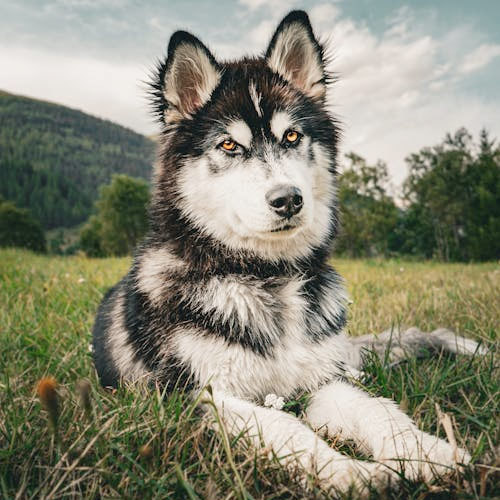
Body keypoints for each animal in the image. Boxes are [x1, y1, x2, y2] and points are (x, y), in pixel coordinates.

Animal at [92, 11, 486, 496]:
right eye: (229, 145)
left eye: (293, 136)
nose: (288, 199)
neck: (267, 276)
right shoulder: (200, 396)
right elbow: (287, 427)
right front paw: (348, 472)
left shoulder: (321, 381)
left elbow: (376, 409)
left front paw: (426, 452)